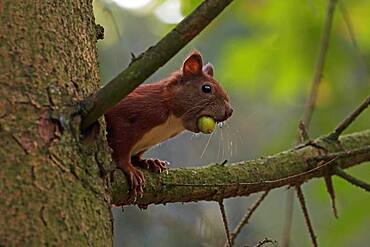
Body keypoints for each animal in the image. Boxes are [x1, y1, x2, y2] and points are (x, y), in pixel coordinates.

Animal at [105, 51, 231, 196]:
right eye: (206, 88)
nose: (230, 111)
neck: (172, 121)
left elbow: (136, 156)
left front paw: (149, 162)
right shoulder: (127, 115)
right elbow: (121, 149)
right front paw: (129, 168)